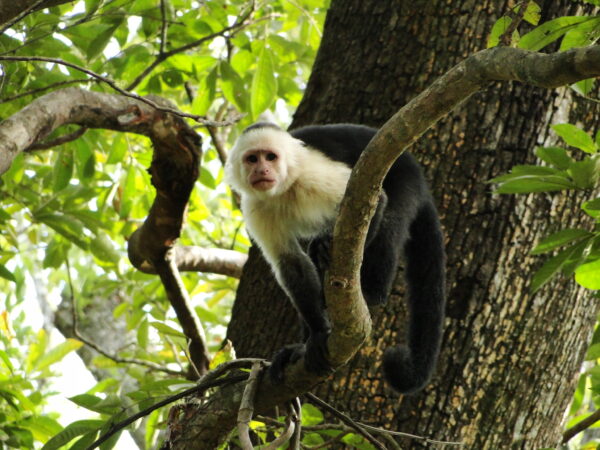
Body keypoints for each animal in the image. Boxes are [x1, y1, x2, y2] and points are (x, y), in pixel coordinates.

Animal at [225, 123, 446, 394]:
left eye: (270, 157)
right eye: (252, 159)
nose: (262, 170)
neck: (285, 187)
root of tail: (420, 176)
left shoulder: (312, 175)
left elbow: (378, 201)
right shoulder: (256, 207)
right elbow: (292, 264)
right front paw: (317, 334)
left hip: (405, 179)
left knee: (390, 220)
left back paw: (372, 293)